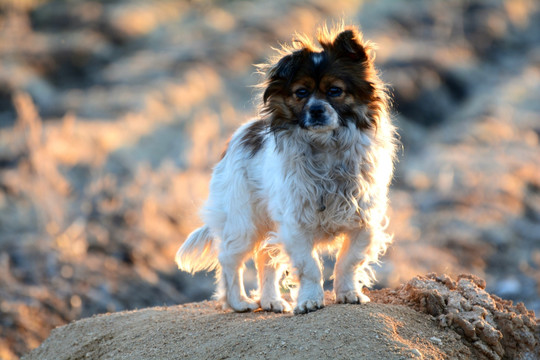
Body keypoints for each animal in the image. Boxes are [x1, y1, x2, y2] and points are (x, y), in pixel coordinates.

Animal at [177, 24, 396, 316]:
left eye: (334, 91)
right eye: (301, 93)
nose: (316, 110)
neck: (326, 147)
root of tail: (237, 137)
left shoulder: (363, 221)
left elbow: (348, 261)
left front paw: (348, 293)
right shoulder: (295, 224)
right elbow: (310, 267)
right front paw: (309, 301)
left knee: (265, 261)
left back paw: (271, 301)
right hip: (243, 223)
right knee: (230, 261)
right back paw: (239, 302)